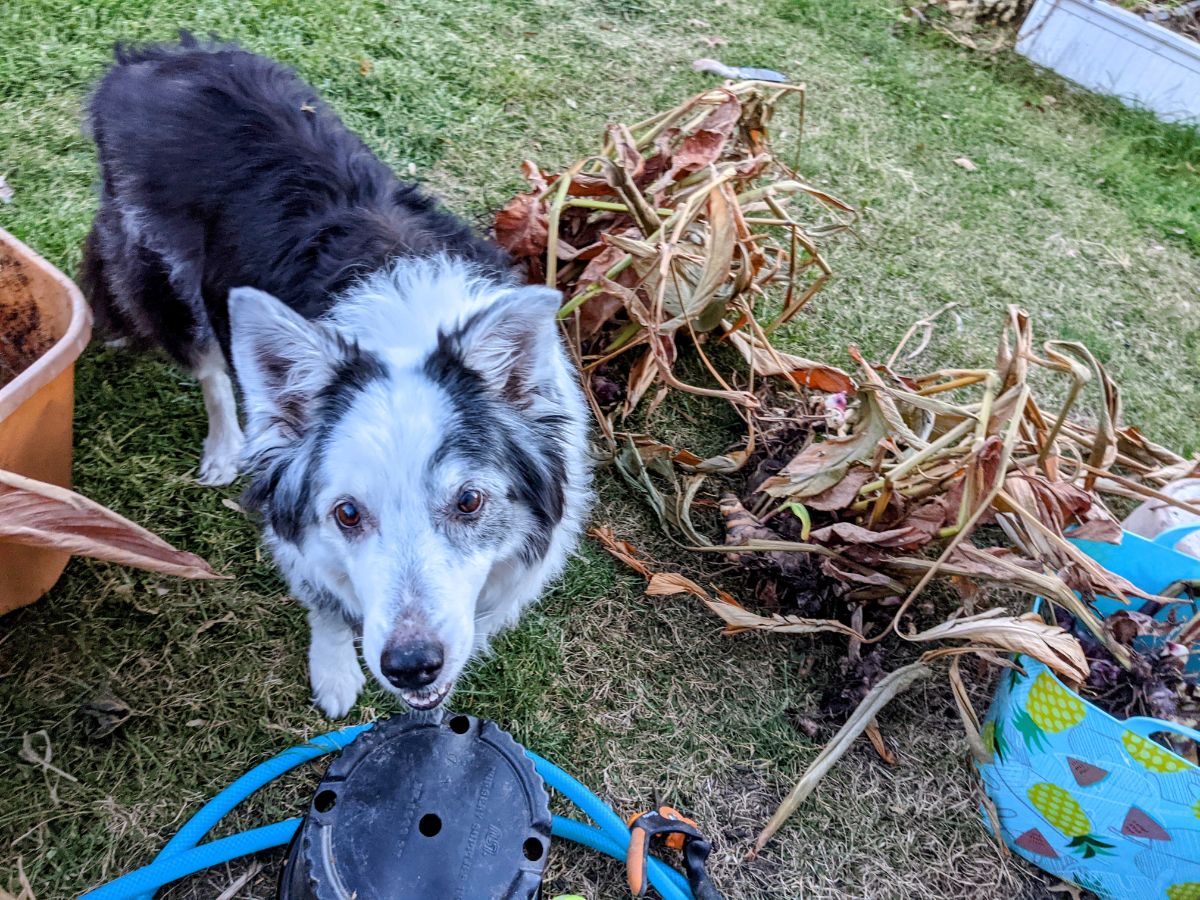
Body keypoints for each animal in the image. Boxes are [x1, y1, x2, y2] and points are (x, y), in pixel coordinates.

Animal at [83, 37, 590, 720]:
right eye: (347, 513)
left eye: (469, 502)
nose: (411, 666)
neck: (407, 335)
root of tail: (151, 57)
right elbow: (323, 601)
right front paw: (333, 670)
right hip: (166, 285)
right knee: (210, 366)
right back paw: (225, 447)